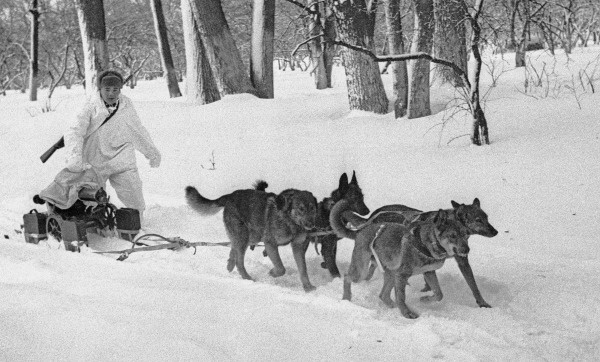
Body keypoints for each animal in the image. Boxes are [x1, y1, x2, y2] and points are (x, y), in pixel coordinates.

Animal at [185, 184, 318, 292]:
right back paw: (247, 278)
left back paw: (230, 265)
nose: (312, 224)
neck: (291, 222)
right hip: (244, 237)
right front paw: (272, 273)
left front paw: (308, 287)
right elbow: (281, 267)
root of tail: (230, 196)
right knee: (239, 261)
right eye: (301, 208)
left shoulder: (298, 246)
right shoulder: (270, 243)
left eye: (312, 208)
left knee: (233, 248)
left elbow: (303, 269)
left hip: (252, 236)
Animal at [352, 198, 496, 308]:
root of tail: (374, 214)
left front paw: (482, 302)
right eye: (478, 220)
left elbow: (472, 285)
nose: (495, 231)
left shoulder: (460, 261)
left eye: (487, 217)